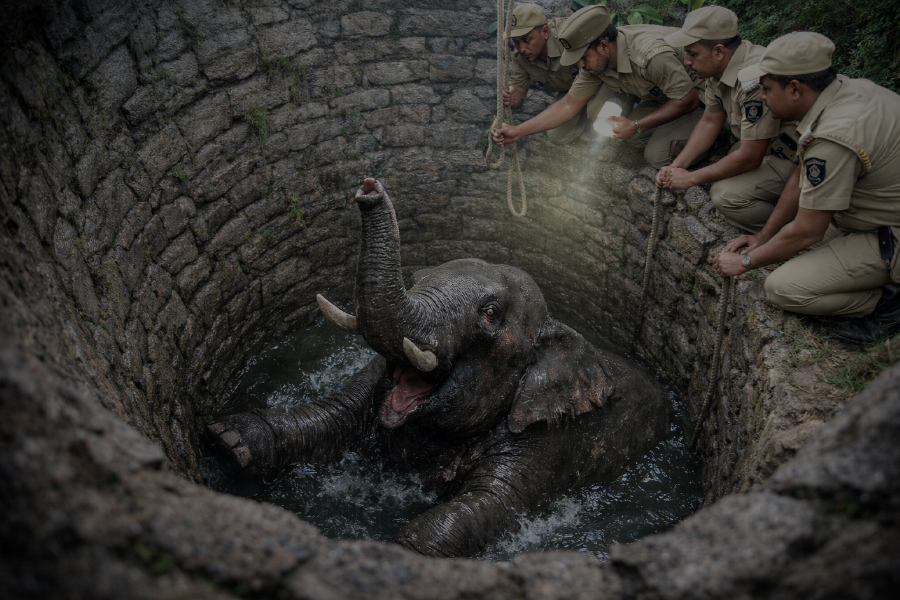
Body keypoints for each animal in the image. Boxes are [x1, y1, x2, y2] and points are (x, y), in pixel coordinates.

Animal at [207, 178, 670, 558]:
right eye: (417, 278)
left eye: (490, 314)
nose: (368, 187)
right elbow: (331, 416)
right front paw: (228, 439)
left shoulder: (548, 438)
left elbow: (489, 504)